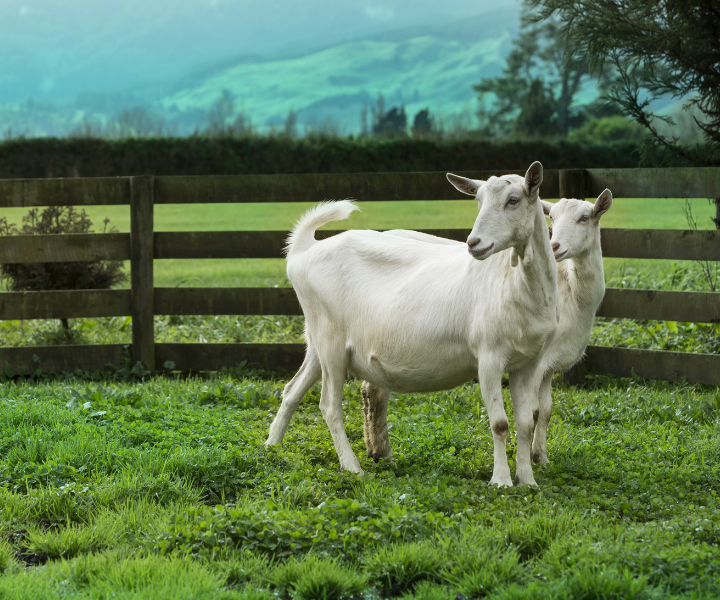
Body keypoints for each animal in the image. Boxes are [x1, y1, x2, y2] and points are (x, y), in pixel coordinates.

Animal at [264, 164, 556, 488]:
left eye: (513, 200)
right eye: (478, 201)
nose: (474, 244)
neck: (514, 283)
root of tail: (303, 251)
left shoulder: (528, 362)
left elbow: (526, 422)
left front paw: (527, 481)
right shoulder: (489, 356)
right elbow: (500, 424)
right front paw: (502, 481)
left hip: (318, 339)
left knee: (293, 389)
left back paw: (272, 447)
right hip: (330, 341)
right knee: (329, 405)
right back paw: (352, 467)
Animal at [360, 190, 612, 466]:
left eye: (585, 218)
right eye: (552, 218)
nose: (554, 246)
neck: (570, 290)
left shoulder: (549, 363)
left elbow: (546, 410)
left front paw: (540, 457)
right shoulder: (538, 358)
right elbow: (535, 411)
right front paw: (529, 456)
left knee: (371, 390)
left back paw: (375, 450)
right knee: (376, 392)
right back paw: (381, 451)